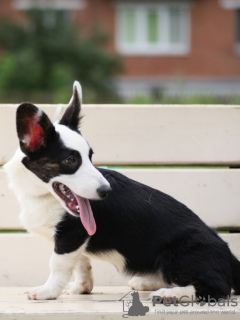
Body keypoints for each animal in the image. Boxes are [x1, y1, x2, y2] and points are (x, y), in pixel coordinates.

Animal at [4, 81, 240, 302]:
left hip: (178, 255)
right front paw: (82, 287)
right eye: (71, 160)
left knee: (216, 288)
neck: (42, 195)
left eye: (90, 156)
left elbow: (58, 264)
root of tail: (230, 256)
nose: (106, 191)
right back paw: (148, 282)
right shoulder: (77, 239)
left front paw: (47, 291)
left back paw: (169, 294)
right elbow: (81, 262)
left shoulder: (70, 235)